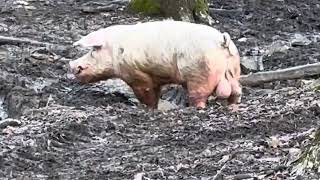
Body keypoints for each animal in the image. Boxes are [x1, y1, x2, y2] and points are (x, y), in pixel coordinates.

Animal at [69, 20, 241, 109]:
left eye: (93, 50)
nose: (73, 66)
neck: (115, 49)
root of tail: (222, 40)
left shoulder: (135, 75)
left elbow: (147, 94)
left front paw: (149, 109)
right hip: (233, 68)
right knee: (236, 90)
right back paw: (232, 106)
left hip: (199, 73)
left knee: (199, 96)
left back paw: (196, 108)